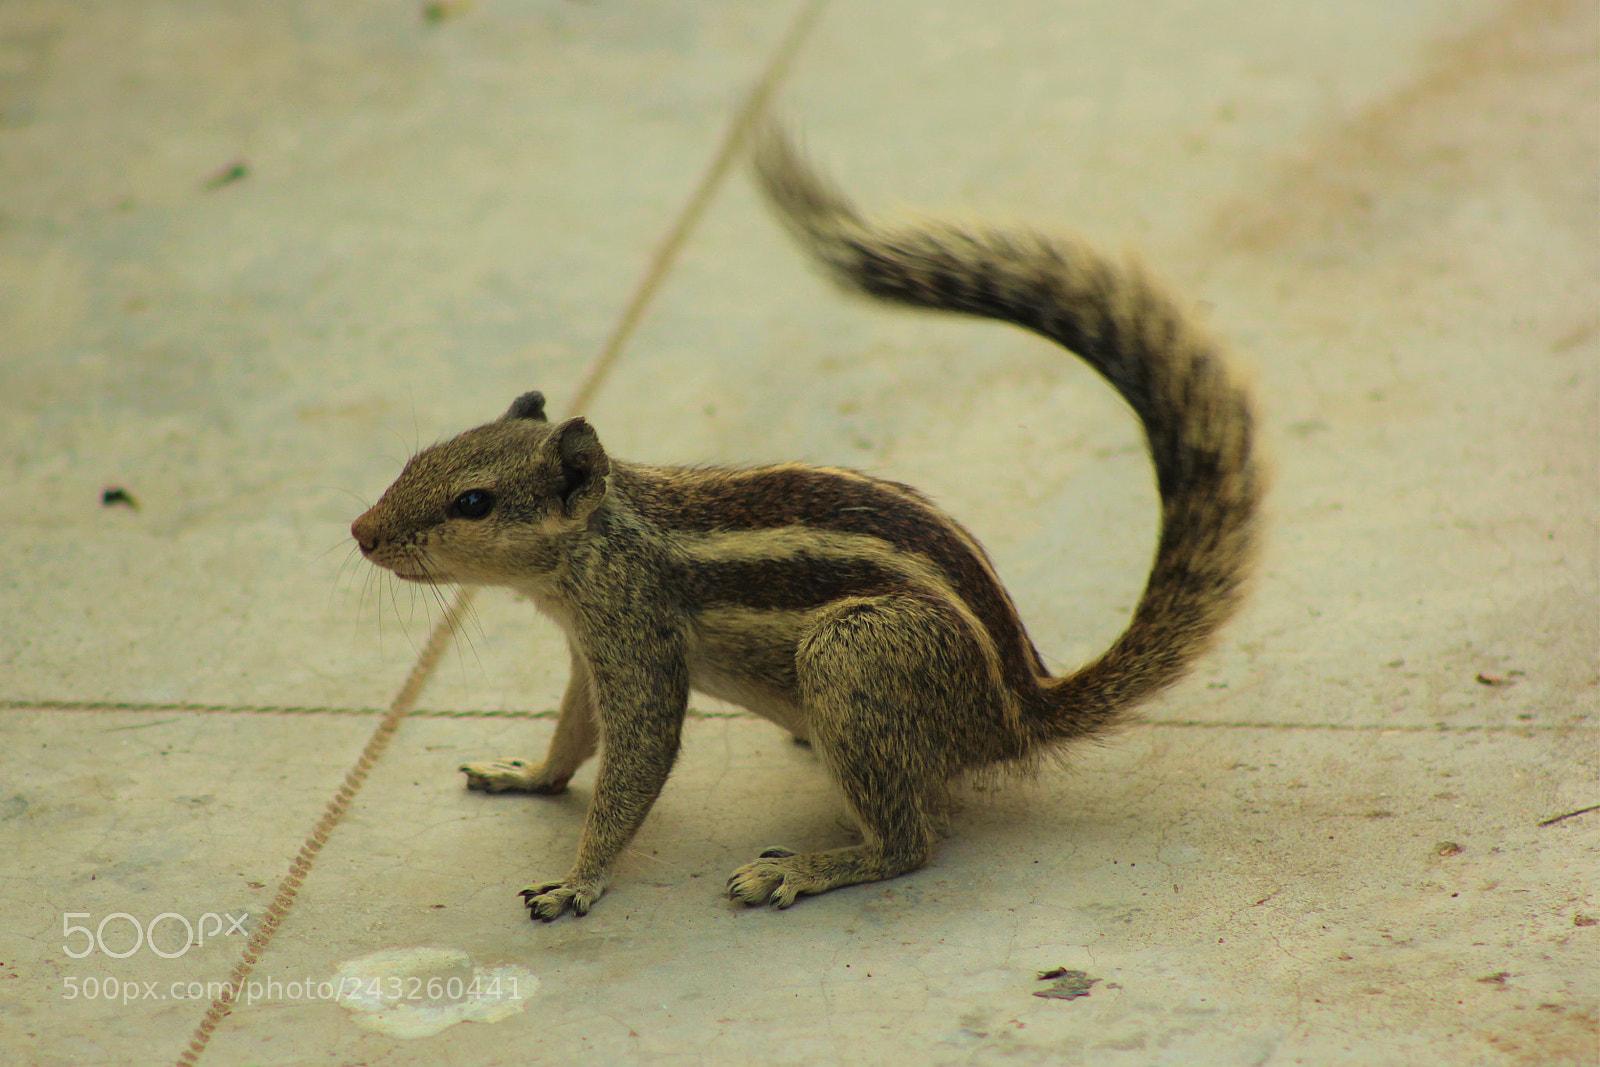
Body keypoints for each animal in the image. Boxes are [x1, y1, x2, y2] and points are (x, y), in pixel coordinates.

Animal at [351, 124, 1263, 921]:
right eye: (424, 454)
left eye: (473, 502)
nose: (361, 532)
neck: (598, 544)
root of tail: (1015, 712)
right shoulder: (588, 648)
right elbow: (576, 731)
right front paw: (527, 774)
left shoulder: (636, 637)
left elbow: (636, 756)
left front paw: (577, 881)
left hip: (851, 656)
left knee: (909, 843)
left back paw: (803, 868)